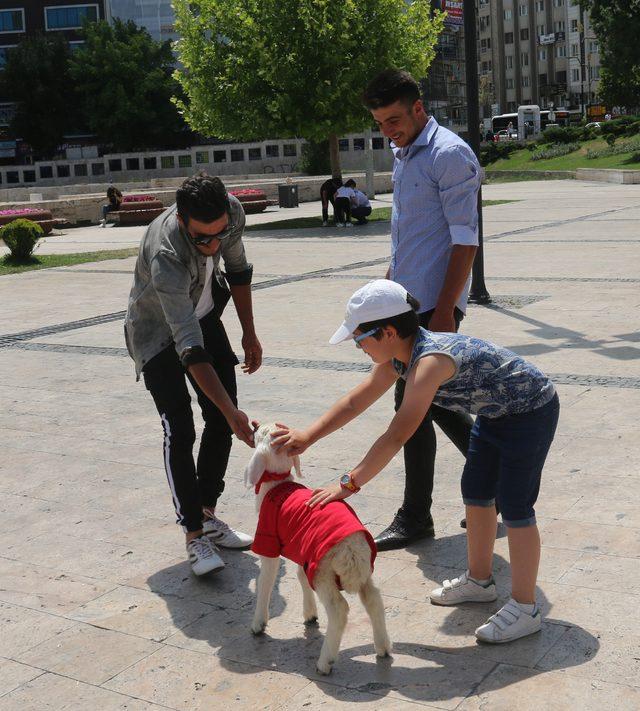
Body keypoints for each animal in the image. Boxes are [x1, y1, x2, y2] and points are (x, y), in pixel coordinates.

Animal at [244, 426, 390, 676]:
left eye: (261, 431)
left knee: (339, 609)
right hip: (360, 567)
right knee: (373, 599)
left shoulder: (268, 540)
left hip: (324, 571)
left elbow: (265, 582)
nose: (252, 427)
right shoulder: (302, 549)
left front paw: (258, 624)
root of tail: (351, 548)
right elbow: (300, 576)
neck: (276, 484)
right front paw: (310, 614)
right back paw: (382, 647)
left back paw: (325, 662)